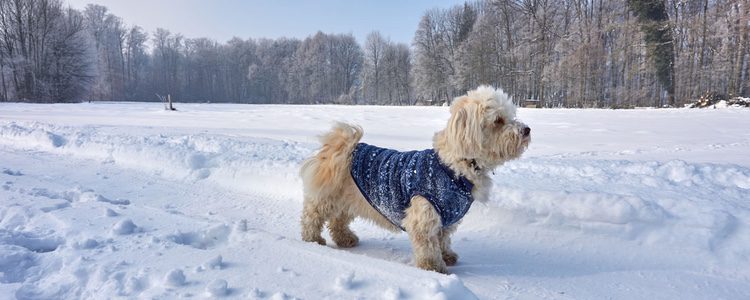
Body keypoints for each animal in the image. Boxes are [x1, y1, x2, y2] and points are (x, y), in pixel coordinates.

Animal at [302, 85, 536, 274]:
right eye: (498, 120)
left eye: (512, 116)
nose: (527, 129)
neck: (455, 166)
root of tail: (343, 148)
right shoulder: (424, 216)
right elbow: (428, 247)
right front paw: (433, 268)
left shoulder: (445, 219)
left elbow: (443, 240)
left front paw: (447, 256)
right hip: (328, 197)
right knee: (312, 216)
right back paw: (312, 239)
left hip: (350, 200)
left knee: (338, 221)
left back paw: (345, 238)